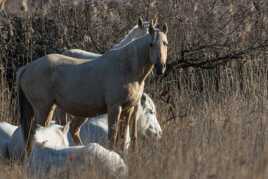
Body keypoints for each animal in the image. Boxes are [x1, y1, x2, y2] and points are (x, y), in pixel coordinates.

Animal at [16, 21, 168, 154]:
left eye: (165, 43)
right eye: (151, 44)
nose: (160, 68)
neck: (127, 67)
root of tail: (26, 68)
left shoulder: (129, 108)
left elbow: (124, 136)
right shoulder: (115, 108)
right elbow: (113, 136)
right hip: (43, 109)